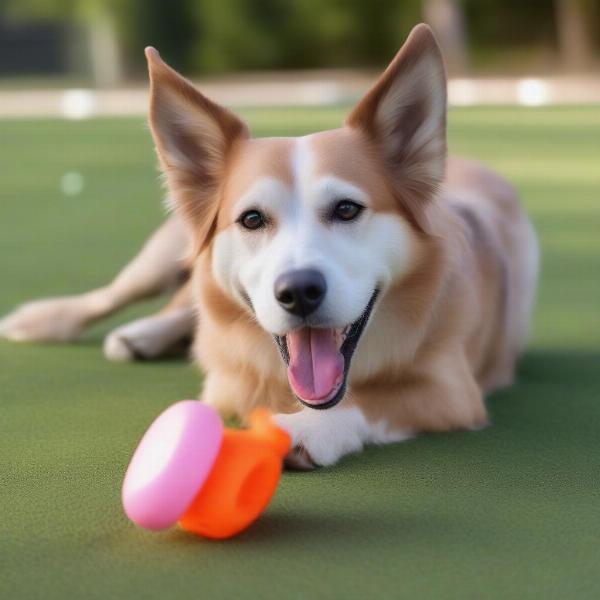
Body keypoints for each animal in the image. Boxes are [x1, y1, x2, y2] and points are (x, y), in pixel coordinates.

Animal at [0, 25, 540, 468]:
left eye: (347, 209)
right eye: (252, 219)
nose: (299, 292)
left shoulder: (453, 392)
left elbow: (371, 401)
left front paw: (309, 430)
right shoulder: (224, 381)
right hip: (161, 255)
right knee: (124, 297)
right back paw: (85, 325)